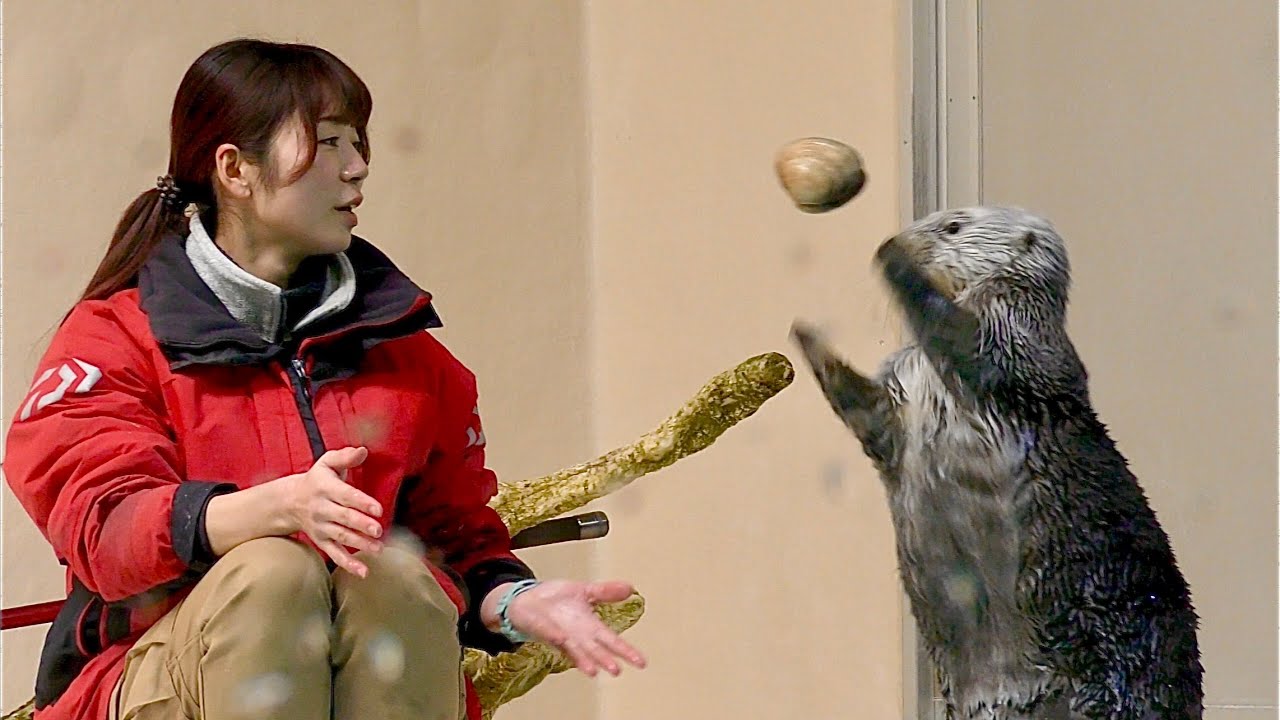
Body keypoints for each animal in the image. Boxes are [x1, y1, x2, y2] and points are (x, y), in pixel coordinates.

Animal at [791, 206, 1203, 720]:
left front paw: (894, 262)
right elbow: (867, 413)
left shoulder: (1013, 342)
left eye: (953, 227)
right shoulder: (893, 407)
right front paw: (807, 336)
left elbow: (956, 332)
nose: (899, 240)